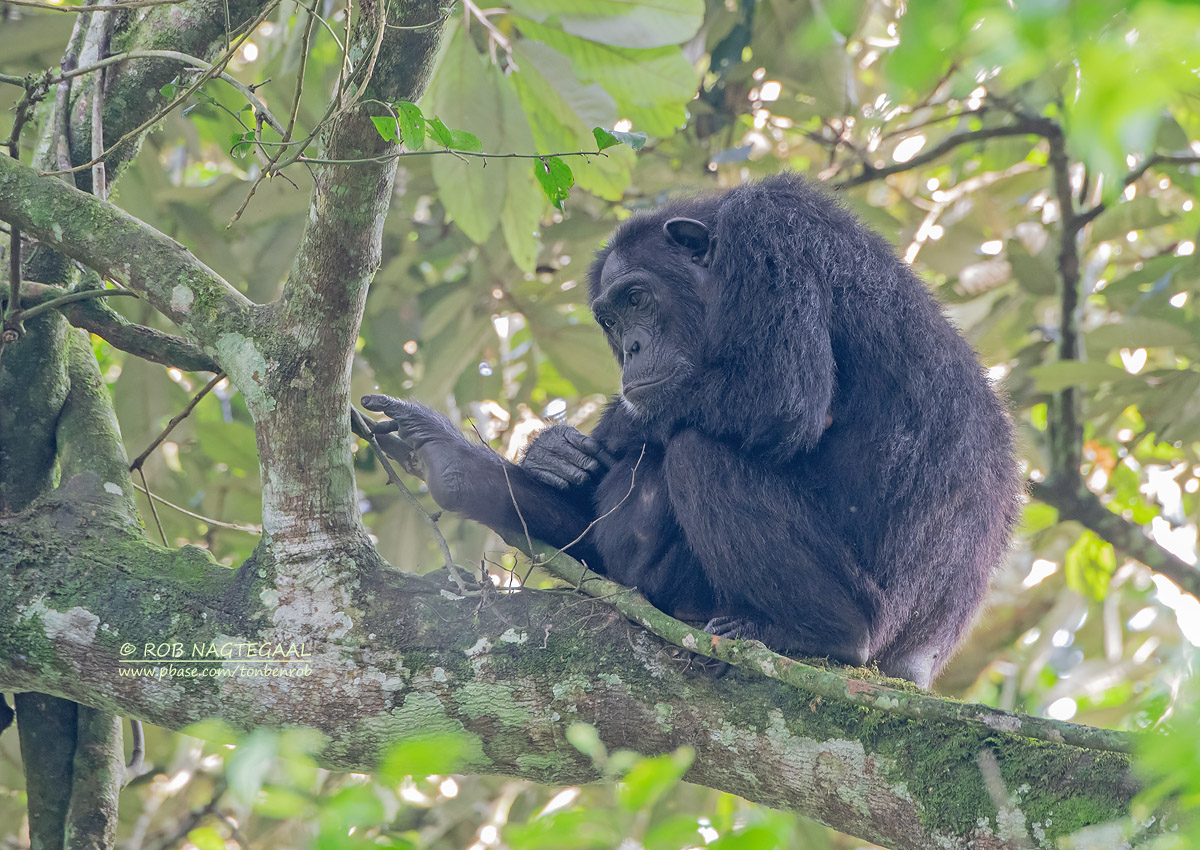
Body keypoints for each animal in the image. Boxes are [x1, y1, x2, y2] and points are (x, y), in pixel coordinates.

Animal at [360, 174, 1017, 691]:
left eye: (637, 297)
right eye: (610, 318)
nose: (631, 348)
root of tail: (918, 665)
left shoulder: (773, 235)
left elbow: (781, 395)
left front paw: (601, 431)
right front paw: (544, 454)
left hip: (877, 623)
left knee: (696, 453)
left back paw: (818, 634)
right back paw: (454, 464)